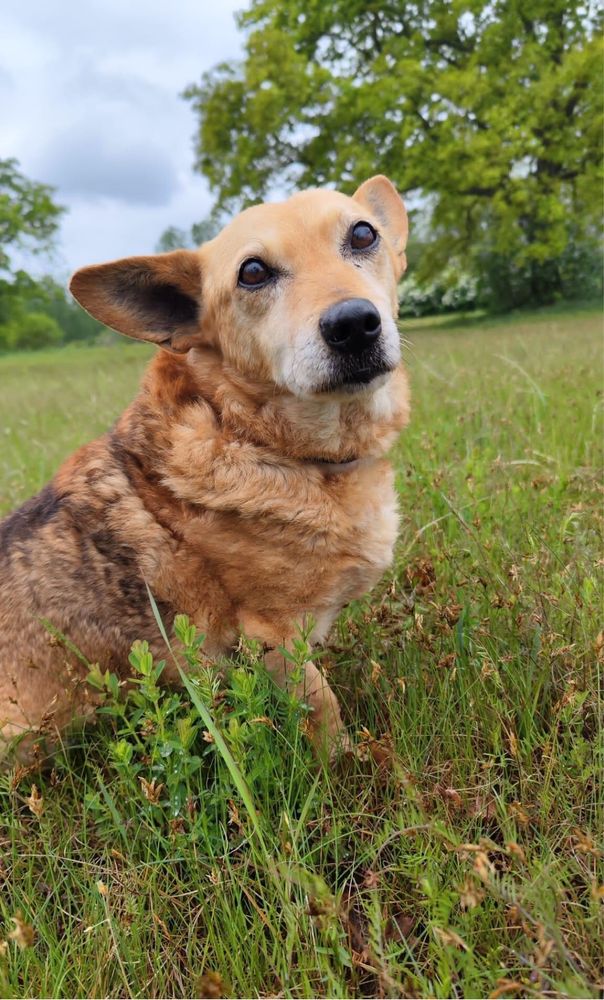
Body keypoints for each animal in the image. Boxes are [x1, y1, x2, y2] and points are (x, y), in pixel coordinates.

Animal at [0, 176, 410, 760]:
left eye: (362, 234)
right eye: (253, 272)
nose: (353, 324)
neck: (252, 435)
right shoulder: (271, 635)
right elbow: (323, 707)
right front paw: (344, 765)